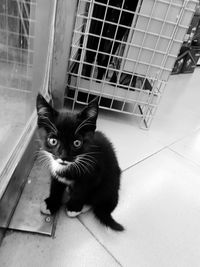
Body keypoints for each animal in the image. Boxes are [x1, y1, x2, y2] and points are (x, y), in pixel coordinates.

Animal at [35, 94, 123, 232]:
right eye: (53, 141)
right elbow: (55, 186)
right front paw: (52, 203)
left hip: (109, 182)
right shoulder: (54, 171)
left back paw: (85, 205)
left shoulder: (94, 172)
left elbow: (82, 189)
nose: (64, 156)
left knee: (98, 197)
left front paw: (73, 207)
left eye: (77, 143)